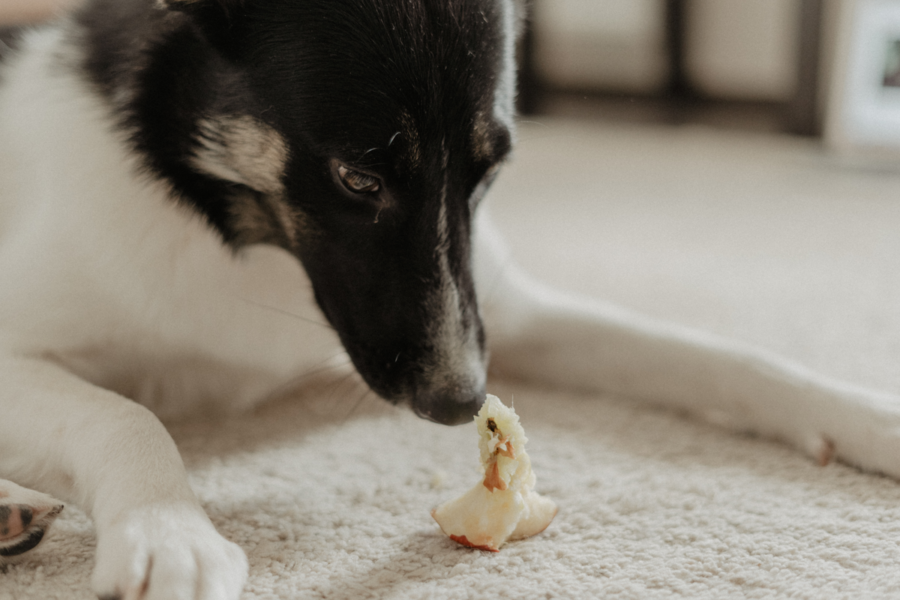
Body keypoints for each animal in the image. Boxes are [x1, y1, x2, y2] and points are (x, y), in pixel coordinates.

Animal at [1, 0, 900, 596]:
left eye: (490, 171)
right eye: (357, 178)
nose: (462, 399)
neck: (247, 233)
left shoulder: (507, 315)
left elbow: (719, 355)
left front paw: (866, 416)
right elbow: (127, 417)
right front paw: (170, 532)